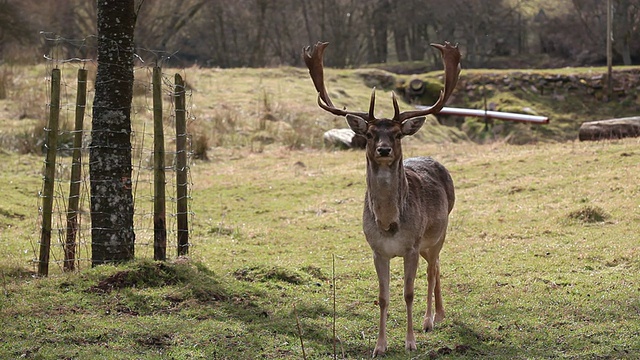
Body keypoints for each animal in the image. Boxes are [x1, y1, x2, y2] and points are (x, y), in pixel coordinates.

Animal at [304, 42, 460, 358]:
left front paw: (411, 342)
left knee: (433, 269)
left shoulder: (411, 247)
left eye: (398, 134)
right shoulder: (377, 250)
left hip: (438, 234)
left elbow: (408, 293)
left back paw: (432, 318)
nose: (384, 150)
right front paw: (380, 346)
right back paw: (436, 316)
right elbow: (383, 297)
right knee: (436, 267)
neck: (389, 223)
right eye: (370, 133)